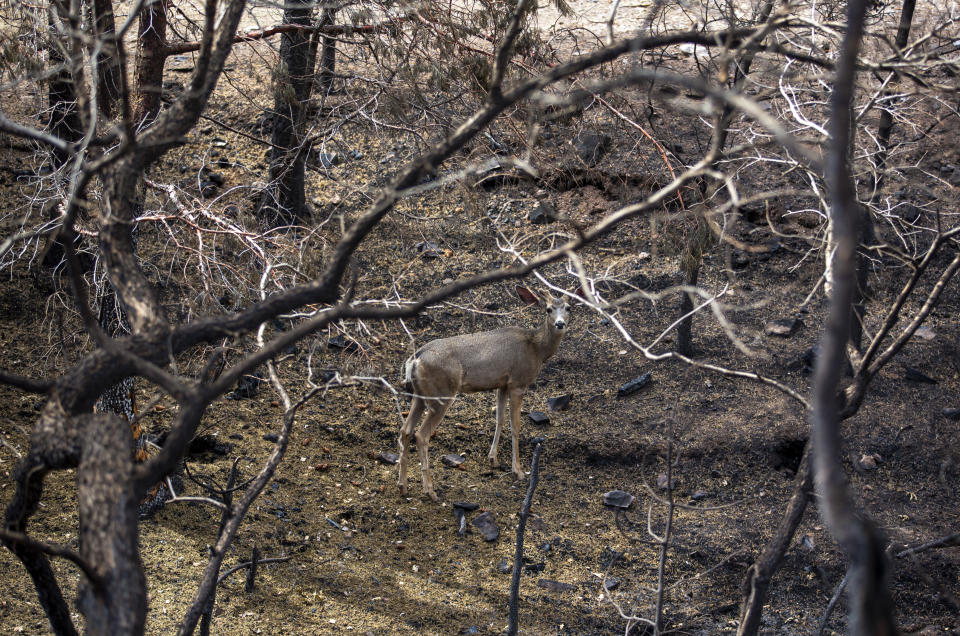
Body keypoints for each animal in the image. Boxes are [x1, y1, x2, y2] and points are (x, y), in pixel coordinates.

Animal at [398, 286, 568, 502]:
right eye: (548, 309)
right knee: (421, 435)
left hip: (420, 396)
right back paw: (430, 491)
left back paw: (402, 486)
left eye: (568, 308)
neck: (537, 348)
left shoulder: (502, 384)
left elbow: (499, 419)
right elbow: (515, 425)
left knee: (405, 430)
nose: (560, 323)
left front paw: (493, 459)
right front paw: (518, 471)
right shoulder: (518, 382)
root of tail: (415, 359)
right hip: (441, 394)